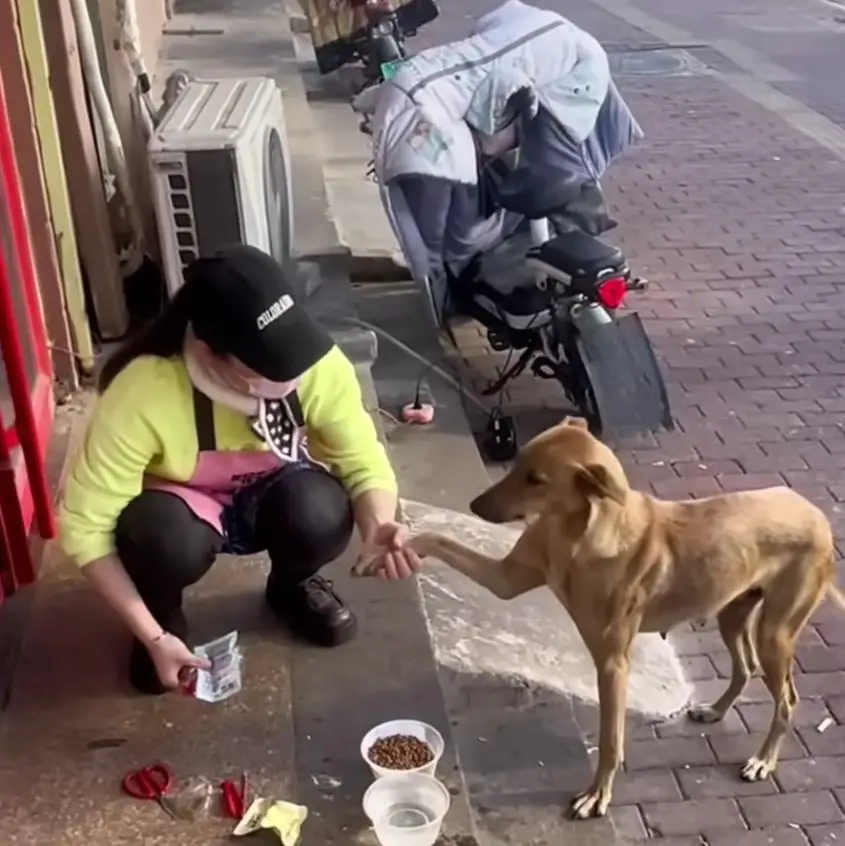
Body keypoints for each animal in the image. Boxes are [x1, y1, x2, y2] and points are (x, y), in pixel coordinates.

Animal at [352, 418, 840, 820]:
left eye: (537, 479)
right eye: (518, 460)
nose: (474, 505)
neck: (575, 530)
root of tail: (815, 512)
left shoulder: (612, 663)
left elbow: (609, 740)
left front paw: (597, 796)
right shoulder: (505, 580)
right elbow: (437, 538)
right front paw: (384, 550)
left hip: (775, 632)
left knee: (787, 699)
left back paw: (763, 760)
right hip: (732, 613)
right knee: (745, 668)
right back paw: (716, 711)